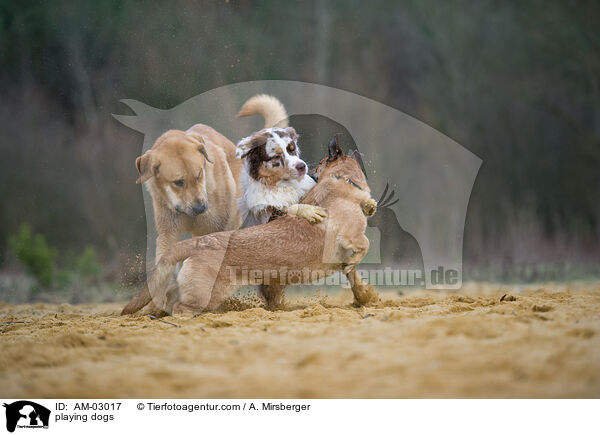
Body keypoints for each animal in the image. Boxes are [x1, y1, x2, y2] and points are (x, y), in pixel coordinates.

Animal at [122, 137, 380, 316]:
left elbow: (355, 277)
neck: (342, 181)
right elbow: (365, 245)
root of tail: (196, 242)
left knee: (168, 296)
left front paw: (365, 296)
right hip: (205, 295)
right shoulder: (352, 235)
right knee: (180, 307)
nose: (309, 171)